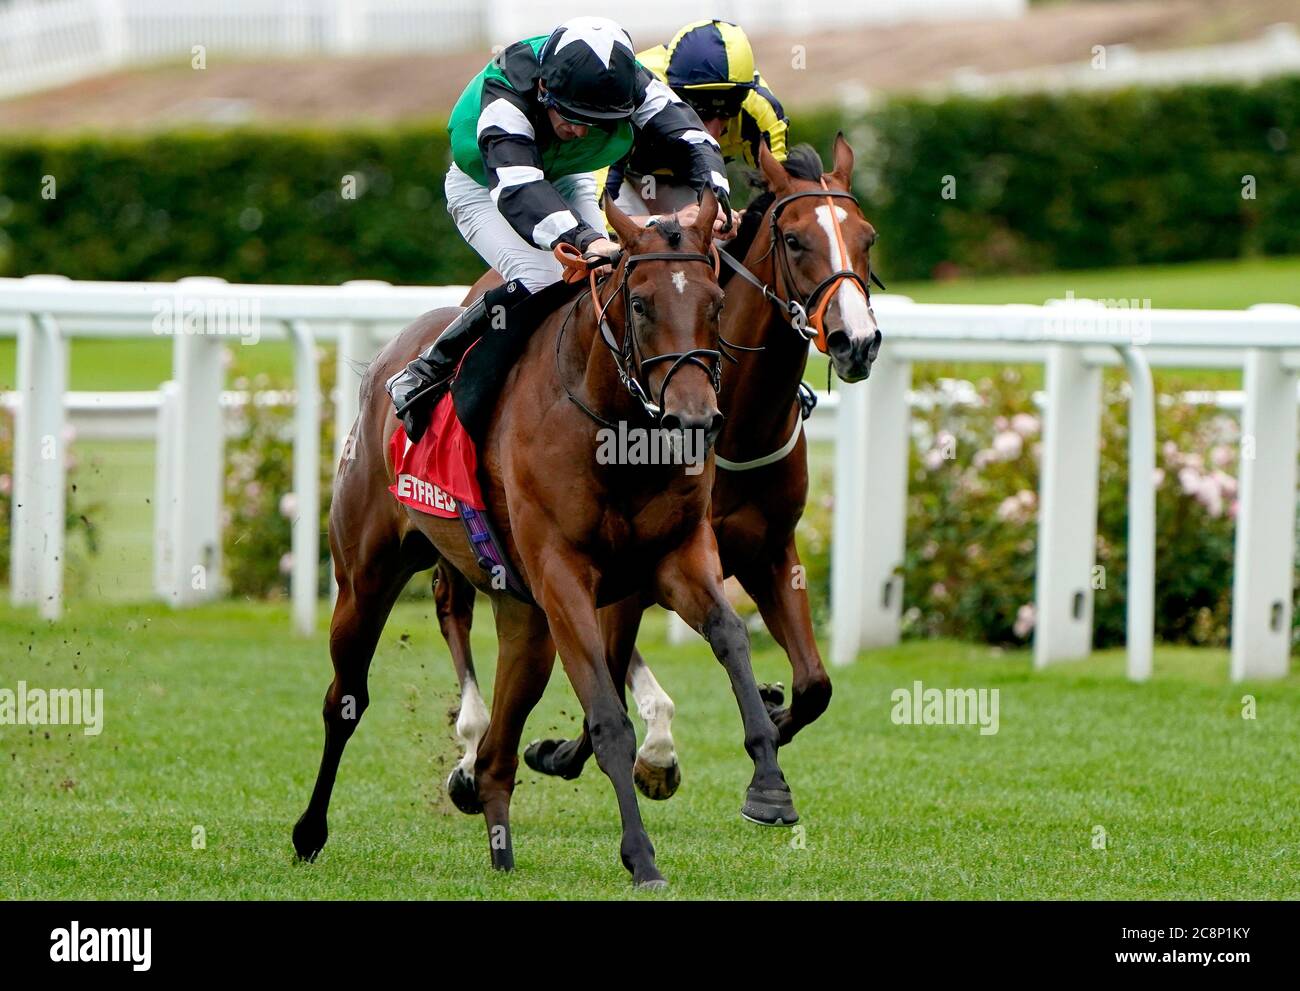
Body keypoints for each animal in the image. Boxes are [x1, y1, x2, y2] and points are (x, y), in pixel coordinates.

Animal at [295, 188, 795, 884]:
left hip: (522, 617)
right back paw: (310, 831)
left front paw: (769, 784)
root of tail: (386, 362)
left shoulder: (676, 557)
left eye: (716, 303)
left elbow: (730, 638)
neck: (615, 428)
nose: (694, 421)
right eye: (640, 304)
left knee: (498, 748)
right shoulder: (563, 576)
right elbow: (609, 718)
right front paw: (641, 857)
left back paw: (498, 843)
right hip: (366, 577)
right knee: (345, 699)